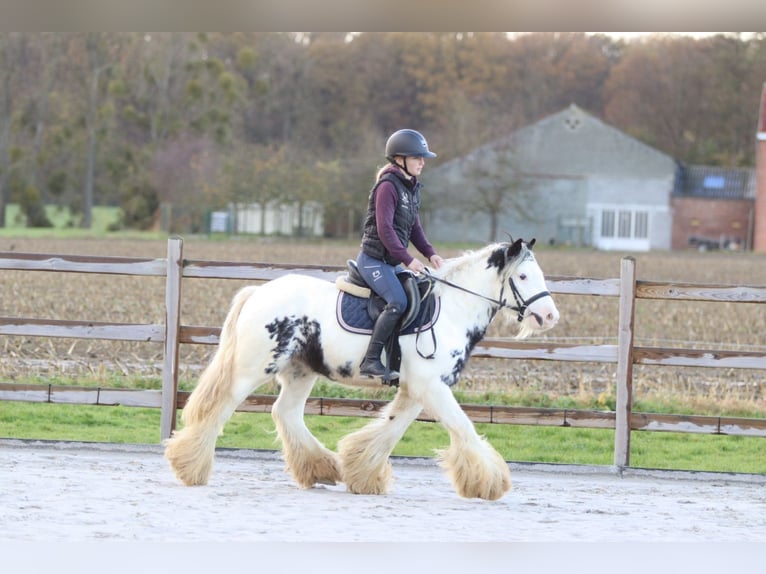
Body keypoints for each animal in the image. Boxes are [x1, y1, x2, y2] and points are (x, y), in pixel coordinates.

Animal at [164, 238, 559, 500]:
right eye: (524, 277)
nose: (550, 316)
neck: (453, 308)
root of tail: (258, 293)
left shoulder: (418, 388)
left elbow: (392, 428)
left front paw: (362, 472)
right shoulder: (432, 386)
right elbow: (463, 426)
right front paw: (489, 482)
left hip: (300, 372)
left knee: (285, 413)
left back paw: (321, 468)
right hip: (255, 366)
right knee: (220, 407)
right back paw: (190, 467)